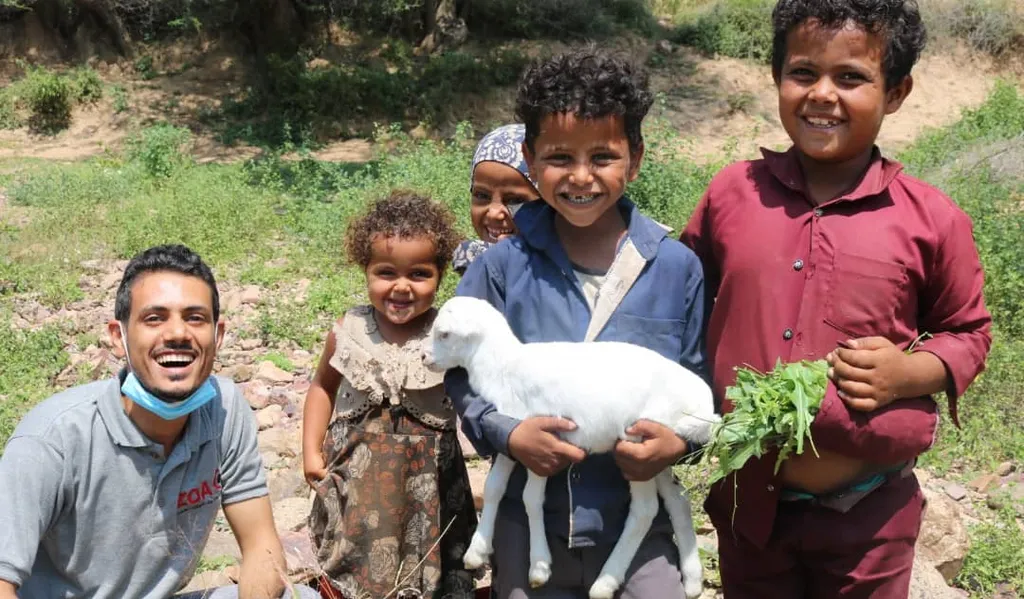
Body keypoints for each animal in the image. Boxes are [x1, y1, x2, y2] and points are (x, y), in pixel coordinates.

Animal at [419, 294, 716, 597]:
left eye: (445, 334)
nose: (424, 358)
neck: (503, 367)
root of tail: (703, 403)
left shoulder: (543, 442)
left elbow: (531, 498)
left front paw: (539, 566)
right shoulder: (514, 436)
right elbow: (494, 488)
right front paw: (476, 552)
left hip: (639, 446)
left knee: (645, 510)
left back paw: (605, 582)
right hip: (657, 453)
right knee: (677, 499)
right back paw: (692, 580)